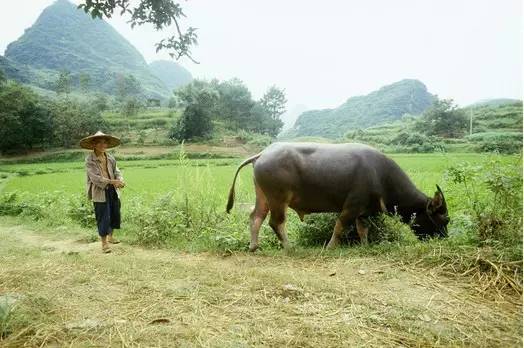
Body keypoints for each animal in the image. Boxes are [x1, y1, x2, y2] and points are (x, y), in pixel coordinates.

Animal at [226, 143, 450, 251]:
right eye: (445, 219)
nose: (445, 238)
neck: (381, 176)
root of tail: (262, 154)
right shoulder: (352, 205)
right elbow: (340, 226)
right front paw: (331, 246)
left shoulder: (363, 211)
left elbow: (362, 229)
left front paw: (365, 246)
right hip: (279, 198)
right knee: (276, 222)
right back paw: (289, 247)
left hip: (263, 196)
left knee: (256, 217)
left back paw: (254, 246)